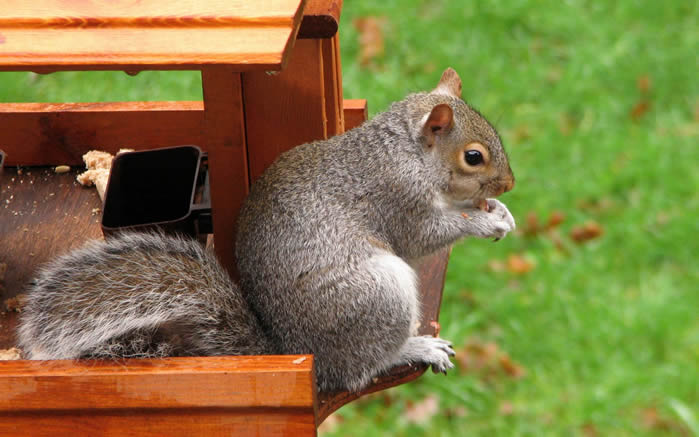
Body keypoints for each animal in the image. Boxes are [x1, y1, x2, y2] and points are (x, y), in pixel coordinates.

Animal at [19, 68, 516, 392]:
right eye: (473, 157)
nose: (509, 183)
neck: (406, 153)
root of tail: (300, 353)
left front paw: (502, 210)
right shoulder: (397, 198)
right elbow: (425, 235)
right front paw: (487, 219)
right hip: (377, 295)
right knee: (361, 368)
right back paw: (413, 348)